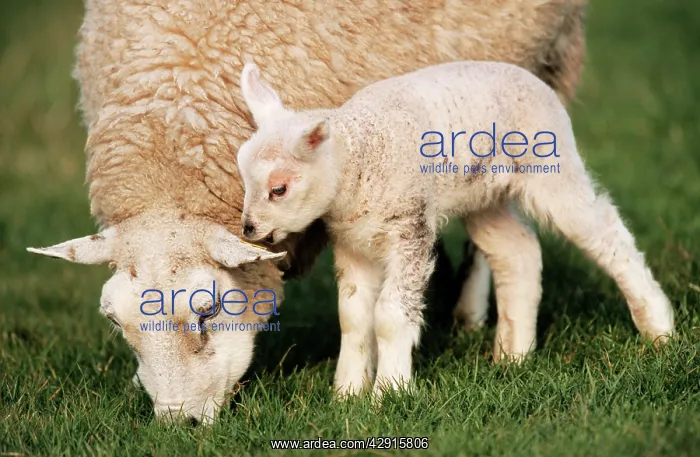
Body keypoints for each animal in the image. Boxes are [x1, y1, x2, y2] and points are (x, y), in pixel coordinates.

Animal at [236, 61, 676, 396]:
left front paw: (388, 393)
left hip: (553, 167)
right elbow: (353, 317)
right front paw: (346, 394)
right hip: (485, 198)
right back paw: (514, 355)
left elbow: (390, 316)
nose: (249, 229)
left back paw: (658, 326)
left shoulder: (410, 229)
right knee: (518, 251)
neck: (360, 159)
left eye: (279, 188)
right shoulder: (353, 244)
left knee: (603, 229)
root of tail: (533, 80)